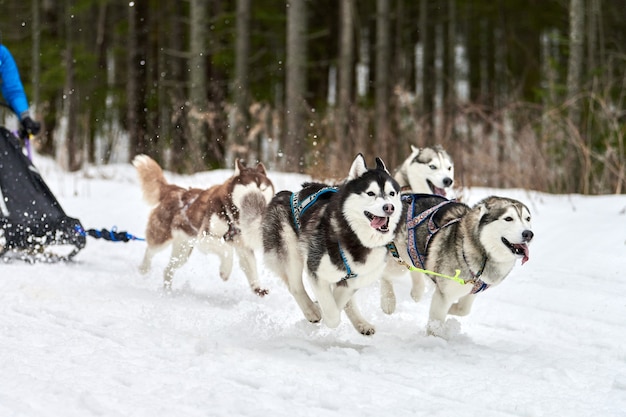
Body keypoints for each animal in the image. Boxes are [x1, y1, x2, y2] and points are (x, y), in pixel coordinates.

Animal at [133, 154, 272, 294]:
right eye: (249, 189)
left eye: (263, 189)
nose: (258, 202)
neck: (232, 217)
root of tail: (174, 190)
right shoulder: (205, 238)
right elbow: (227, 249)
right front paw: (225, 271)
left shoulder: (243, 246)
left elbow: (251, 264)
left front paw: (257, 287)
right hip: (162, 237)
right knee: (150, 249)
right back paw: (144, 268)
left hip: (183, 251)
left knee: (168, 269)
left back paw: (168, 290)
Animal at [260, 154, 398, 334]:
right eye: (370, 193)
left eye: (392, 193)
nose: (389, 207)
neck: (355, 236)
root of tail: (286, 193)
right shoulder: (315, 269)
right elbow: (332, 315)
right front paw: (323, 311)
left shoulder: (353, 279)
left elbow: (340, 299)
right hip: (290, 249)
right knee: (295, 285)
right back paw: (312, 310)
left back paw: (361, 323)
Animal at [386, 193, 532, 336]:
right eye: (508, 218)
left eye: (528, 219)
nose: (529, 234)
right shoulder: (445, 293)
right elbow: (437, 322)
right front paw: (434, 338)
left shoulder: (471, 290)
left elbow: (464, 310)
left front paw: (450, 309)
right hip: (397, 260)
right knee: (384, 273)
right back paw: (388, 301)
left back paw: (417, 291)